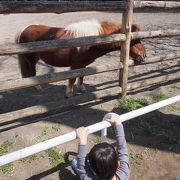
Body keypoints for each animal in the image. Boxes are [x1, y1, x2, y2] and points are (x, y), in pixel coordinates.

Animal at [15, 19, 146, 97]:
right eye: (135, 40)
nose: (144, 56)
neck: (91, 40)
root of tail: (24, 29)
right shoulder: (75, 65)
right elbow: (72, 79)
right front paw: (69, 93)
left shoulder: (83, 64)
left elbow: (82, 76)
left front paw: (81, 88)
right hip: (31, 60)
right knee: (32, 73)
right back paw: (38, 87)